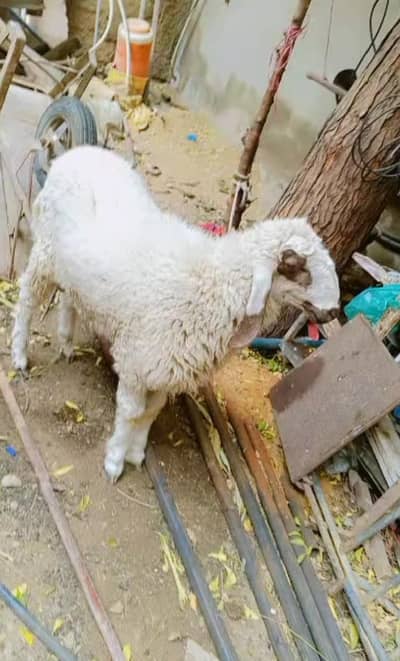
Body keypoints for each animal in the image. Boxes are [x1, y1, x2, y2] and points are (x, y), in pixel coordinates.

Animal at [11, 146, 340, 482]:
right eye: (295, 265)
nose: (333, 311)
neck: (213, 287)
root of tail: (75, 153)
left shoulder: (167, 368)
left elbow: (151, 411)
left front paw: (136, 453)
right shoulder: (137, 361)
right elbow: (130, 412)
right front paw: (115, 460)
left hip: (72, 269)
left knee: (69, 298)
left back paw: (66, 342)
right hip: (45, 253)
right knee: (26, 300)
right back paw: (20, 355)